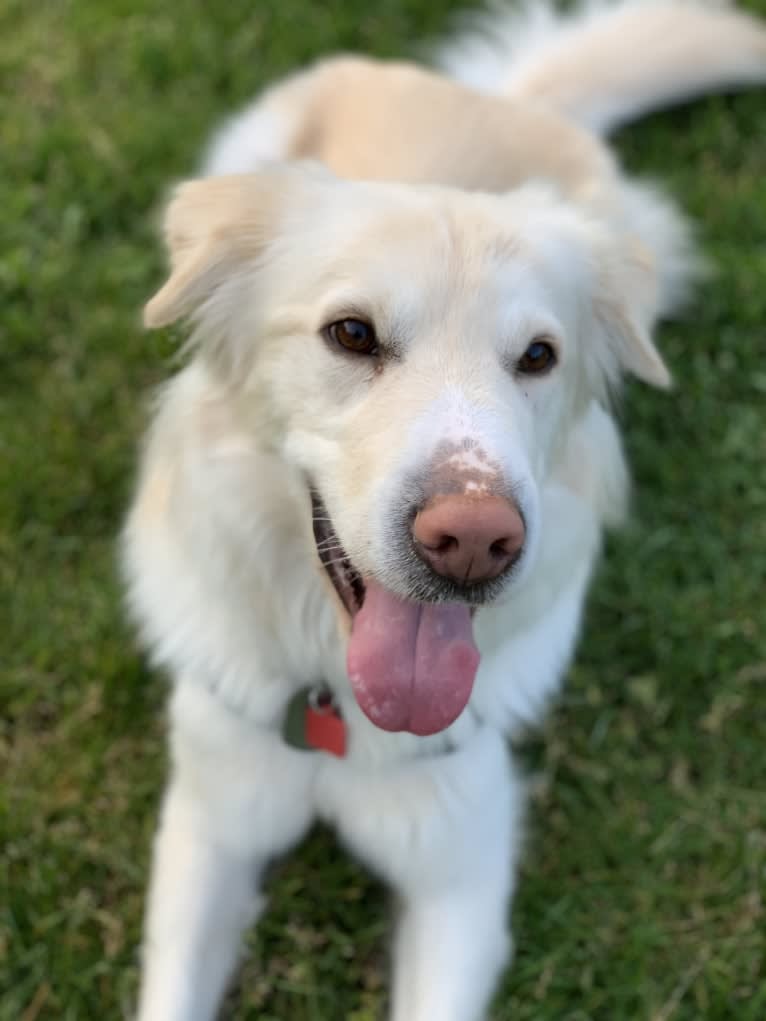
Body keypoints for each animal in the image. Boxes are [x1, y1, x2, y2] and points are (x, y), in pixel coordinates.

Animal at [124, 3, 766, 1016]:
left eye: (539, 356)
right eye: (351, 333)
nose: (473, 539)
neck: (337, 709)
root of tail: (502, 99)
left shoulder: (462, 870)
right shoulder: (208, 826)